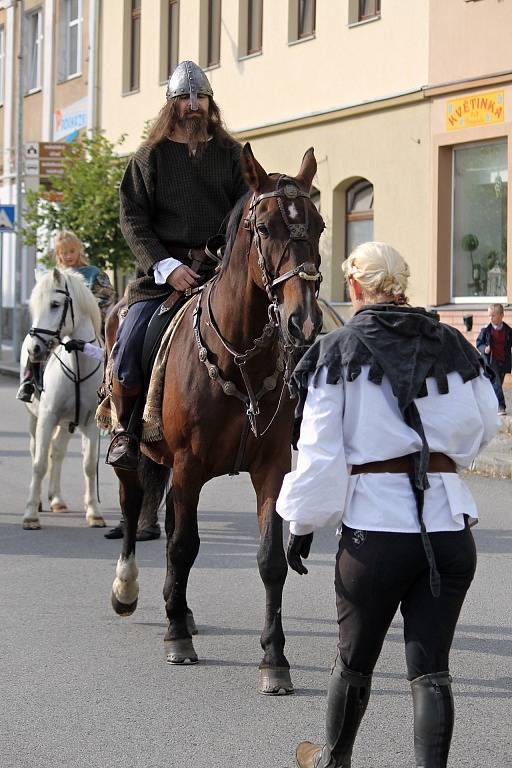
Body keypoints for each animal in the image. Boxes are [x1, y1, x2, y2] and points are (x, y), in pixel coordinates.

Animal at [22, 268, 106, 528]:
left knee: (57, 451)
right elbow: (39, 464)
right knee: (36, 451)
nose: (34, 350)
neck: (77, 365)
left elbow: (89, 465)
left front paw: (94, 513)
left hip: (68, 423)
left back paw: (57, 500)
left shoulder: (90, 424)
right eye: (34, 307)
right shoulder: (47, 418)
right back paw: (40, 502)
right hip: (34, 418)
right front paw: (30, 516)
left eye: (55, 304)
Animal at [111, 144, 324, 696]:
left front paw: (274, 659)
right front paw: (176, 639)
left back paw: (179, 609)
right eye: (265, 227)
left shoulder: (271, 468)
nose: (304, 322)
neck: (238, 357)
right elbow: (184, 545)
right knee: (132, 508)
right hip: (134, 453)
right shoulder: (189, 465)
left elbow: (271, 560)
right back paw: (130, 590)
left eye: (316, 224)